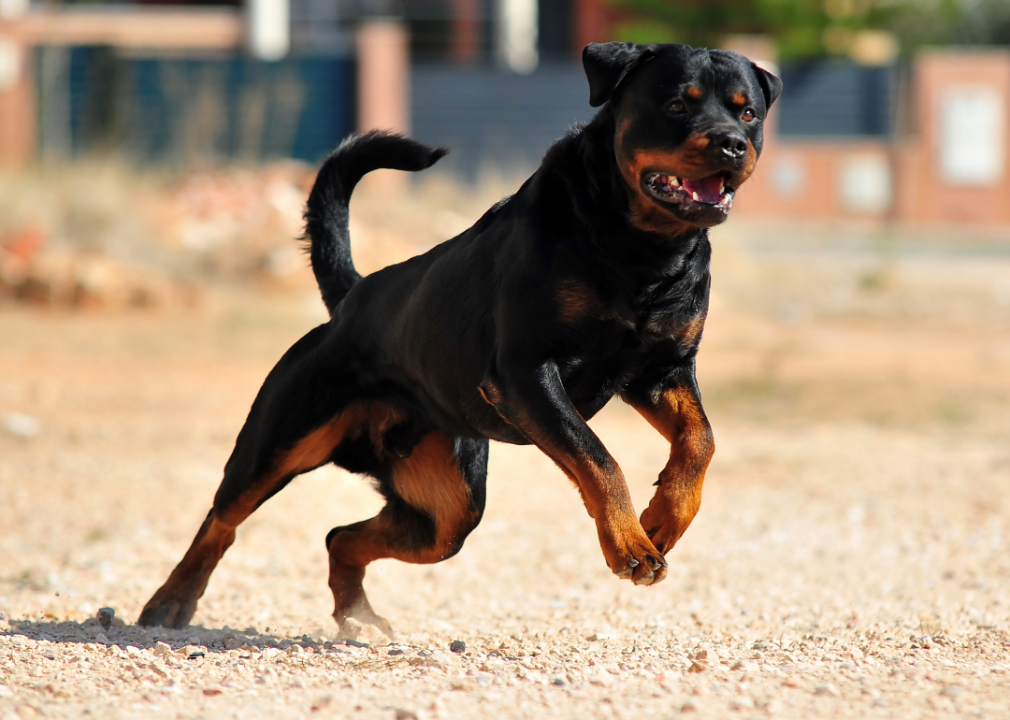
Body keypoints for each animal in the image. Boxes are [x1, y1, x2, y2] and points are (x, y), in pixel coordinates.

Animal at [138, 42, 779, 630]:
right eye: (676, 105)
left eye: (748, 113)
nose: (731, 143)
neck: (642, 248)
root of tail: (352, 298)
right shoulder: (526, 372)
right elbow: (599, 459)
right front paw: (629, 544)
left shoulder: (661, 370)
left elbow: (700, 440)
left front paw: (665, 518)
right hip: (282, 438)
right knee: (224, 518)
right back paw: (171, 600)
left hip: (447, 506)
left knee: (343, 535)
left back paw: (357, 614)